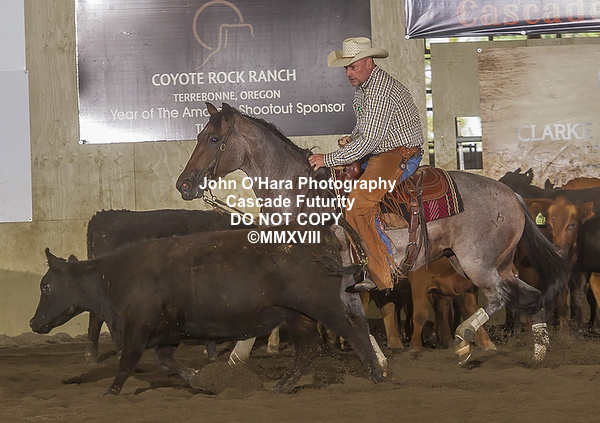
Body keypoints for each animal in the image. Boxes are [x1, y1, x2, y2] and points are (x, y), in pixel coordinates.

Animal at [30, 224, 386, 395]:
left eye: (45, 286)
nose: (34, 323)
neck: (113, 276)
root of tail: (326, 233)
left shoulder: (138, 327)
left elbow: (127, 362)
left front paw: (111, 391)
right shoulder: (167, 331)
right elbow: (166, 361)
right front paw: (201, 378)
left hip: (321, 304)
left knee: (354, 328)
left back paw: (378, 375)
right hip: (297, 313)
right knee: (309, 348)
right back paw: (282, 385)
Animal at [176, 103, 567, 364]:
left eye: (214, 138)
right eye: (198, 136)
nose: (184, 184)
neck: (301, 194)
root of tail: (512, 195)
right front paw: (236, 358)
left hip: (477, 264)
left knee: (500, 296)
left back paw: (464, 338)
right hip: (492, 263)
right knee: (531, 296)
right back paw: (540, 353)